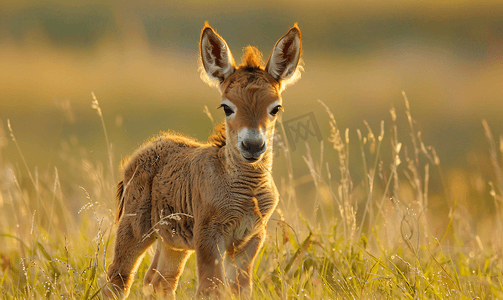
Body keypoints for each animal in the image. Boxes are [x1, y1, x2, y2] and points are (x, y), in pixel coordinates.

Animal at [105, 22, 304, 298]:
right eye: (227, 107)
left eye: (275, 108)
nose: (253, 145)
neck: (246, 190)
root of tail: (143, 150)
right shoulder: (208, 234)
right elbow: (211, 287)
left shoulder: (251, 237)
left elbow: (240, 288)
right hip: (136, 225)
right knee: (119, 276)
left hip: (173, 240)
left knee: (159, 280)